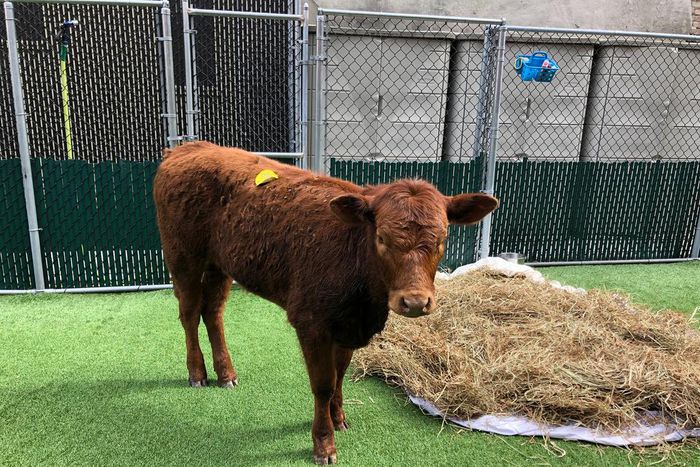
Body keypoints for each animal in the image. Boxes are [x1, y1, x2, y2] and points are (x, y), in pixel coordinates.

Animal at [153, 141, 498, 464]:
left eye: (442, 239)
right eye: (382, 238)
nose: (414, 301)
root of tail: (187, 147)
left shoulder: (348, 326)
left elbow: (339, 374)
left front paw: (338, 418)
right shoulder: (311, 322)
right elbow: (323, 384)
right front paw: (324, 444)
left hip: (219, 263)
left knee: (213, 311)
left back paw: (225, 374)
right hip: (182, 254)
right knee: (189, 312)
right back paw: (197, 373)